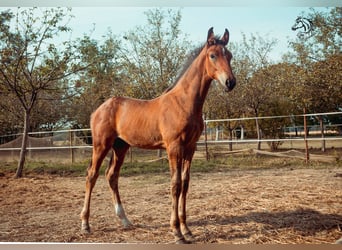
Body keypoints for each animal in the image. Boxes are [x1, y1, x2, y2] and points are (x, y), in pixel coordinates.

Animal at [80, 26, 235, 242]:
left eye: (229, 56)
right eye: (213, 55)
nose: (230, 82)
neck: (184, 102)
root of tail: (98, 109)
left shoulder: (190, 148)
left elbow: (185, 184)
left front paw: (187, 229)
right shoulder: (174, 147)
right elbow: (175, 184)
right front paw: (177, 231)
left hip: (121, 147)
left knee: (111, 176)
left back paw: (125, 220)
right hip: (101, 145)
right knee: (91, 176)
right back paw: (85, 224)